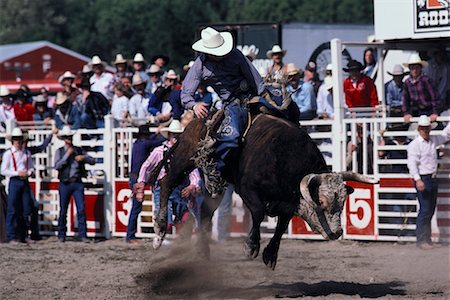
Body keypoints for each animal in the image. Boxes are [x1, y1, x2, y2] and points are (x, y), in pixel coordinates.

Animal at [140, 110, 376, 270]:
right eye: (323, 203)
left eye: (342, 202)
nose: (337, 232)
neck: (285, 158)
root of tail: (198, 119)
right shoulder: (248, 190)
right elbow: (259, 213)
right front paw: (251, 246)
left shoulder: (287, 204)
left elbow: (281, 225)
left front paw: (270, 255)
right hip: (185, 157)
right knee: (166, 183)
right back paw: (159, 232)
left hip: (215, 186)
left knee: (205, 213)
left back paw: (203, 252)